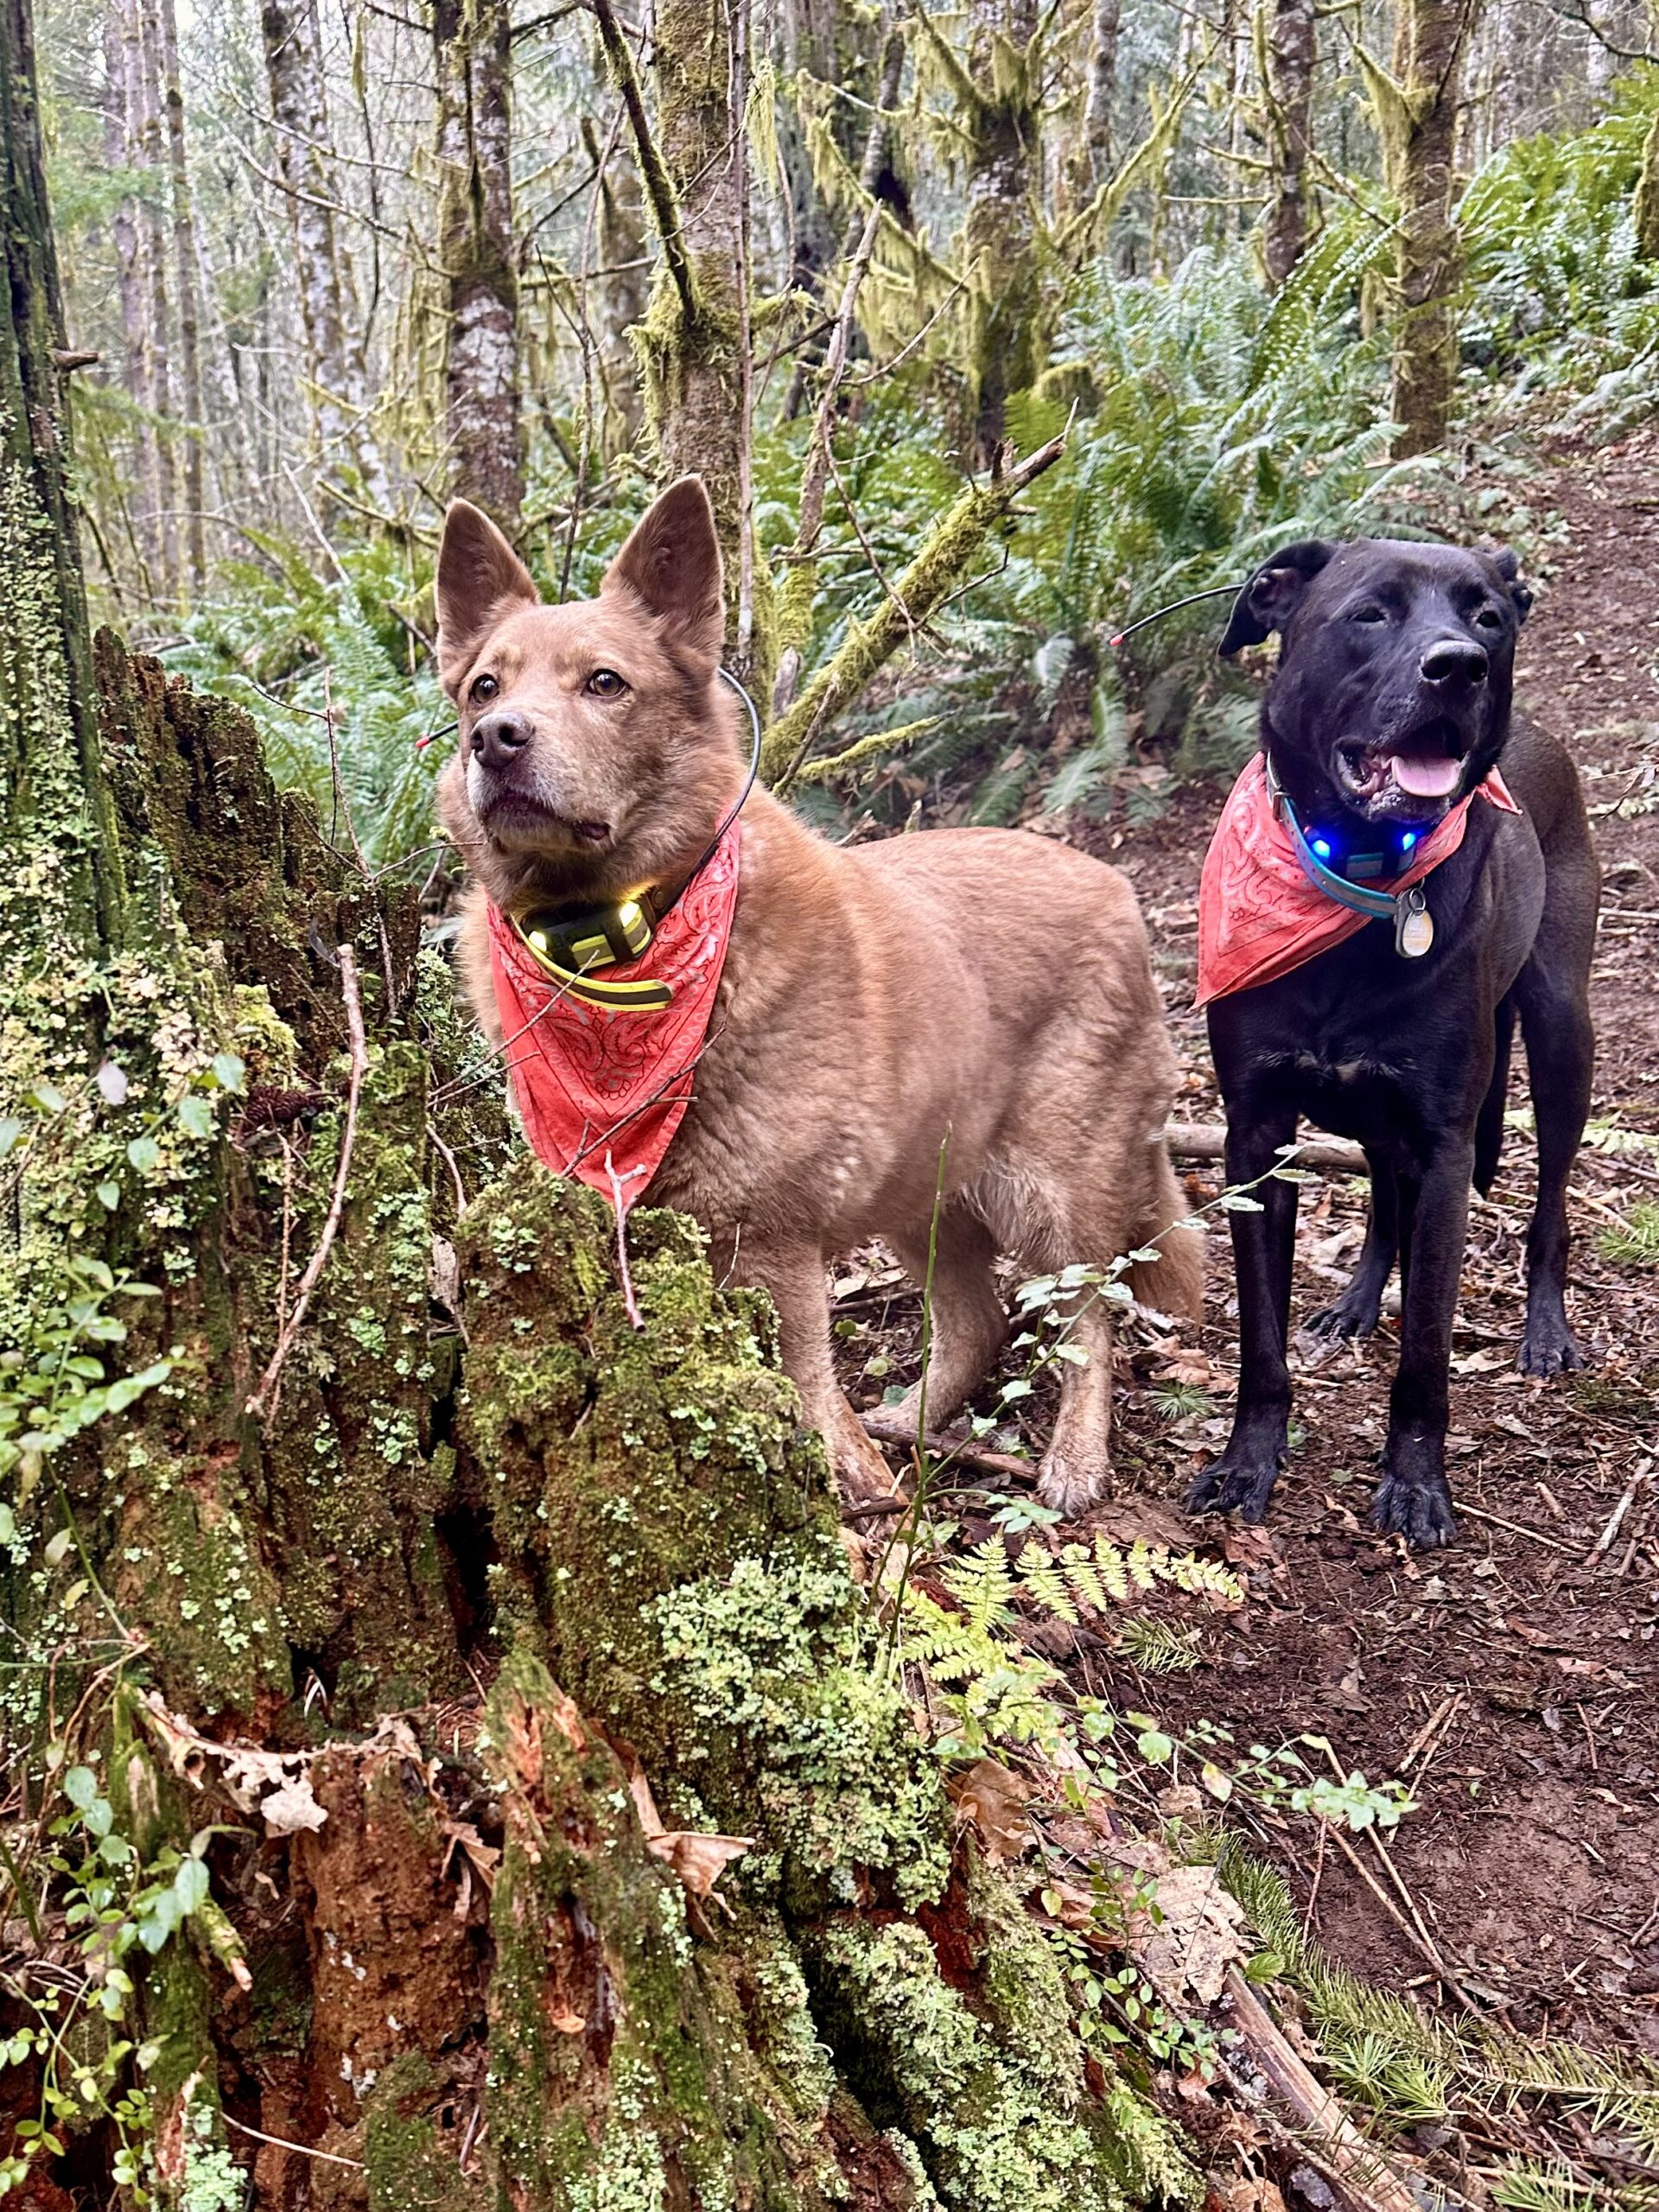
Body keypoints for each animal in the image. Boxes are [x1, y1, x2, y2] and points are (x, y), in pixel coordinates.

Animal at [435, 480, 1203, 1522]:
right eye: (484, 687)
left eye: (604, 683)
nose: (496, 740)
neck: (615, 949)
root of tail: (1114, 885)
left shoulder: (775, 1243)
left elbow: (802, 1377)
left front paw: (847, 1488)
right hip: (923, 1186)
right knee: (979, 1317)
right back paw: (915, 1419)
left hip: (1055, 1192)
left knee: (1088, 1319)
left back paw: (1073, 1459)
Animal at [1194, 537, 1601, 1548]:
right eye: (1370, 613)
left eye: (1488, 615)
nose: (1460, 665)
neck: (1359, 873)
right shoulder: (1255, 1138)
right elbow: (1260, 1337)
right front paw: (1248, 1462)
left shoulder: (1446, 1146)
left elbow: (1426, 1346)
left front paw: (1417, 1481)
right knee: (1383, 1196)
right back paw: (1353, 1299)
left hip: (1562, 1034)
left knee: (1549, 1201)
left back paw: (1545, 1328)